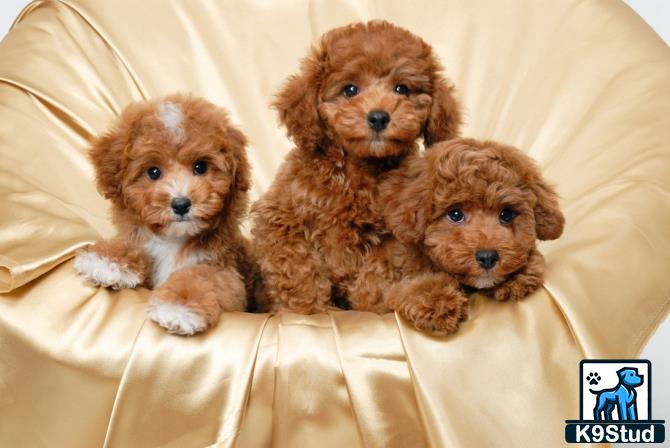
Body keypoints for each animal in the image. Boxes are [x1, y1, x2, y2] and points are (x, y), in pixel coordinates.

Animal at [73, 94, 252, 336]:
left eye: (200, 167)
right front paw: (106, 260)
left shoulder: (223, 270)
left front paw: (178, 307)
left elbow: (201, 275)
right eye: (153, 172)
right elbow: (133, 247)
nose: (181, 204)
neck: (174, 239)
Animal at [252, 21, 462, 314]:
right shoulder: (279, 218)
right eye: (350, 90)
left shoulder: (393, 235)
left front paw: (369, 301)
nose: (378, 117)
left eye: (401, 89)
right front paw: (308, 306)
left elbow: (380, 267)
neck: (358, 170)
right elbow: (296, 265)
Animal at [376, 139, 564, 332]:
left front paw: (520, 274)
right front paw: (437, 300)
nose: (488, 257)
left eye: (506, 215)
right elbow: (403, 288)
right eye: (455, 214)